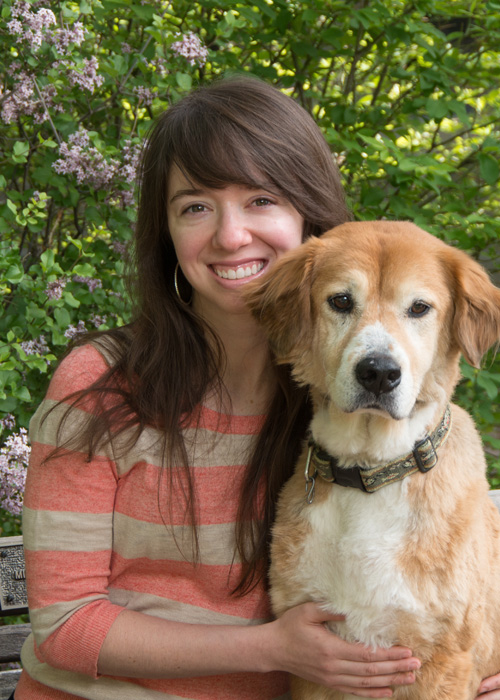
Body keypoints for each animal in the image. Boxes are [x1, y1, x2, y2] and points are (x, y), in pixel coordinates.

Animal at [244, 221, 500, 696]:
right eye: (341, 301)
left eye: (419, 308)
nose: (379, 372)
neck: (371, 472)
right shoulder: (312, 659)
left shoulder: (445, 664)